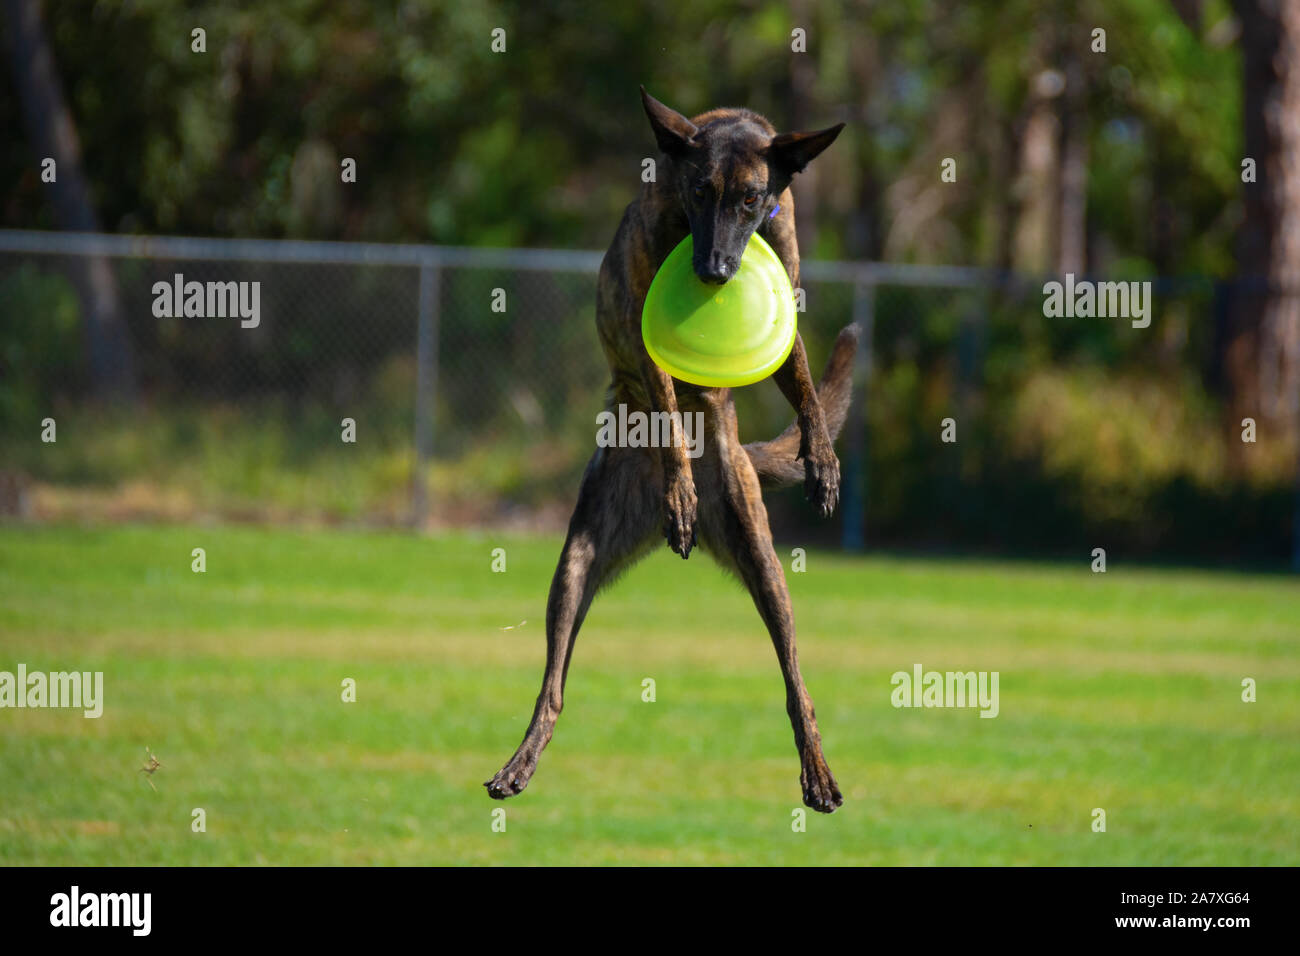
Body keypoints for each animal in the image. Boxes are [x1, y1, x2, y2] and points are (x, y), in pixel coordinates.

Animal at [483, 85, 857, 811]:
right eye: (699, 191)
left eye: (751, 199)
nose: (712, 272)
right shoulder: (642, 324)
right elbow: (664, 394)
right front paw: (679, 485)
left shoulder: (787, 289)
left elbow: (801, 381)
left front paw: (822, 461)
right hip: (576, 564)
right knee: (553, 688)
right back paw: (520, 762)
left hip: (763, 562)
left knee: (796, 684)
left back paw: (818, 771)